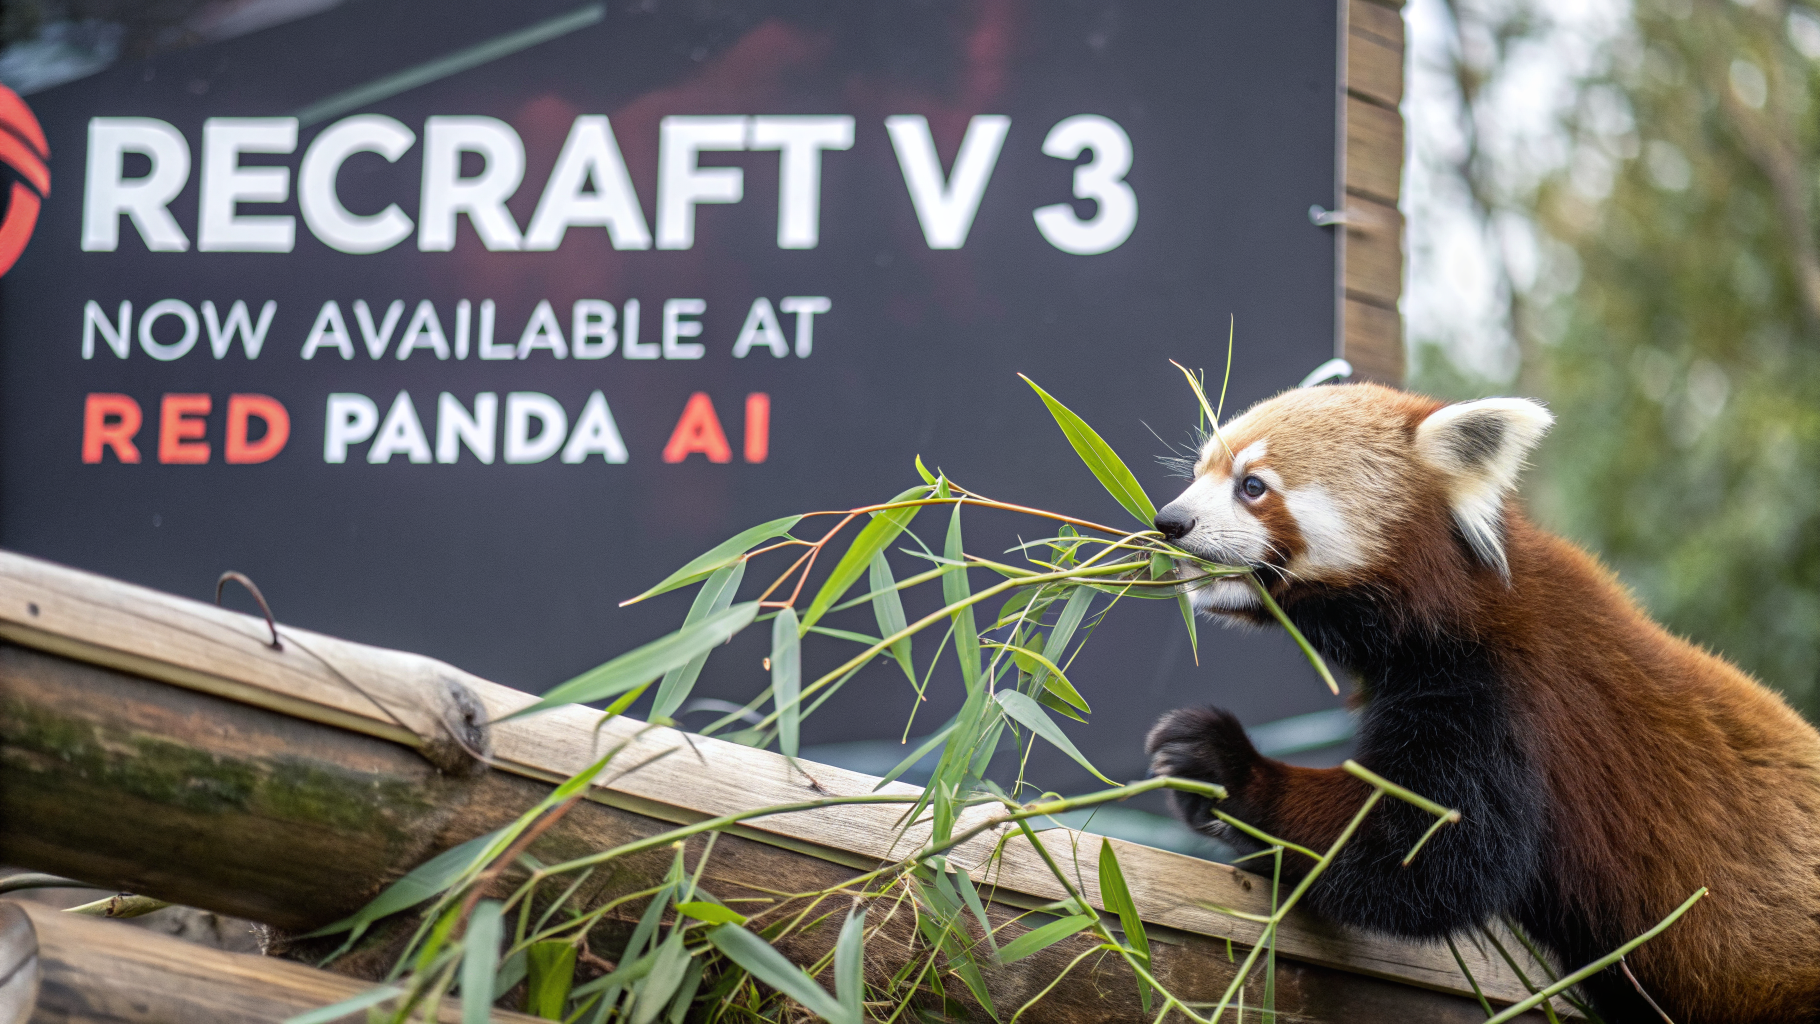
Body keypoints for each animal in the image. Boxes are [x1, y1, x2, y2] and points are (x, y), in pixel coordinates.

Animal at [1144, 382, 1820, 1023]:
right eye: (1199, 471)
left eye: (1252, 486)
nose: (1168, 521)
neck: (1461, 602)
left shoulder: (1511, 694)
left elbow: (1430, 855)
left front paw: (1221, 766)